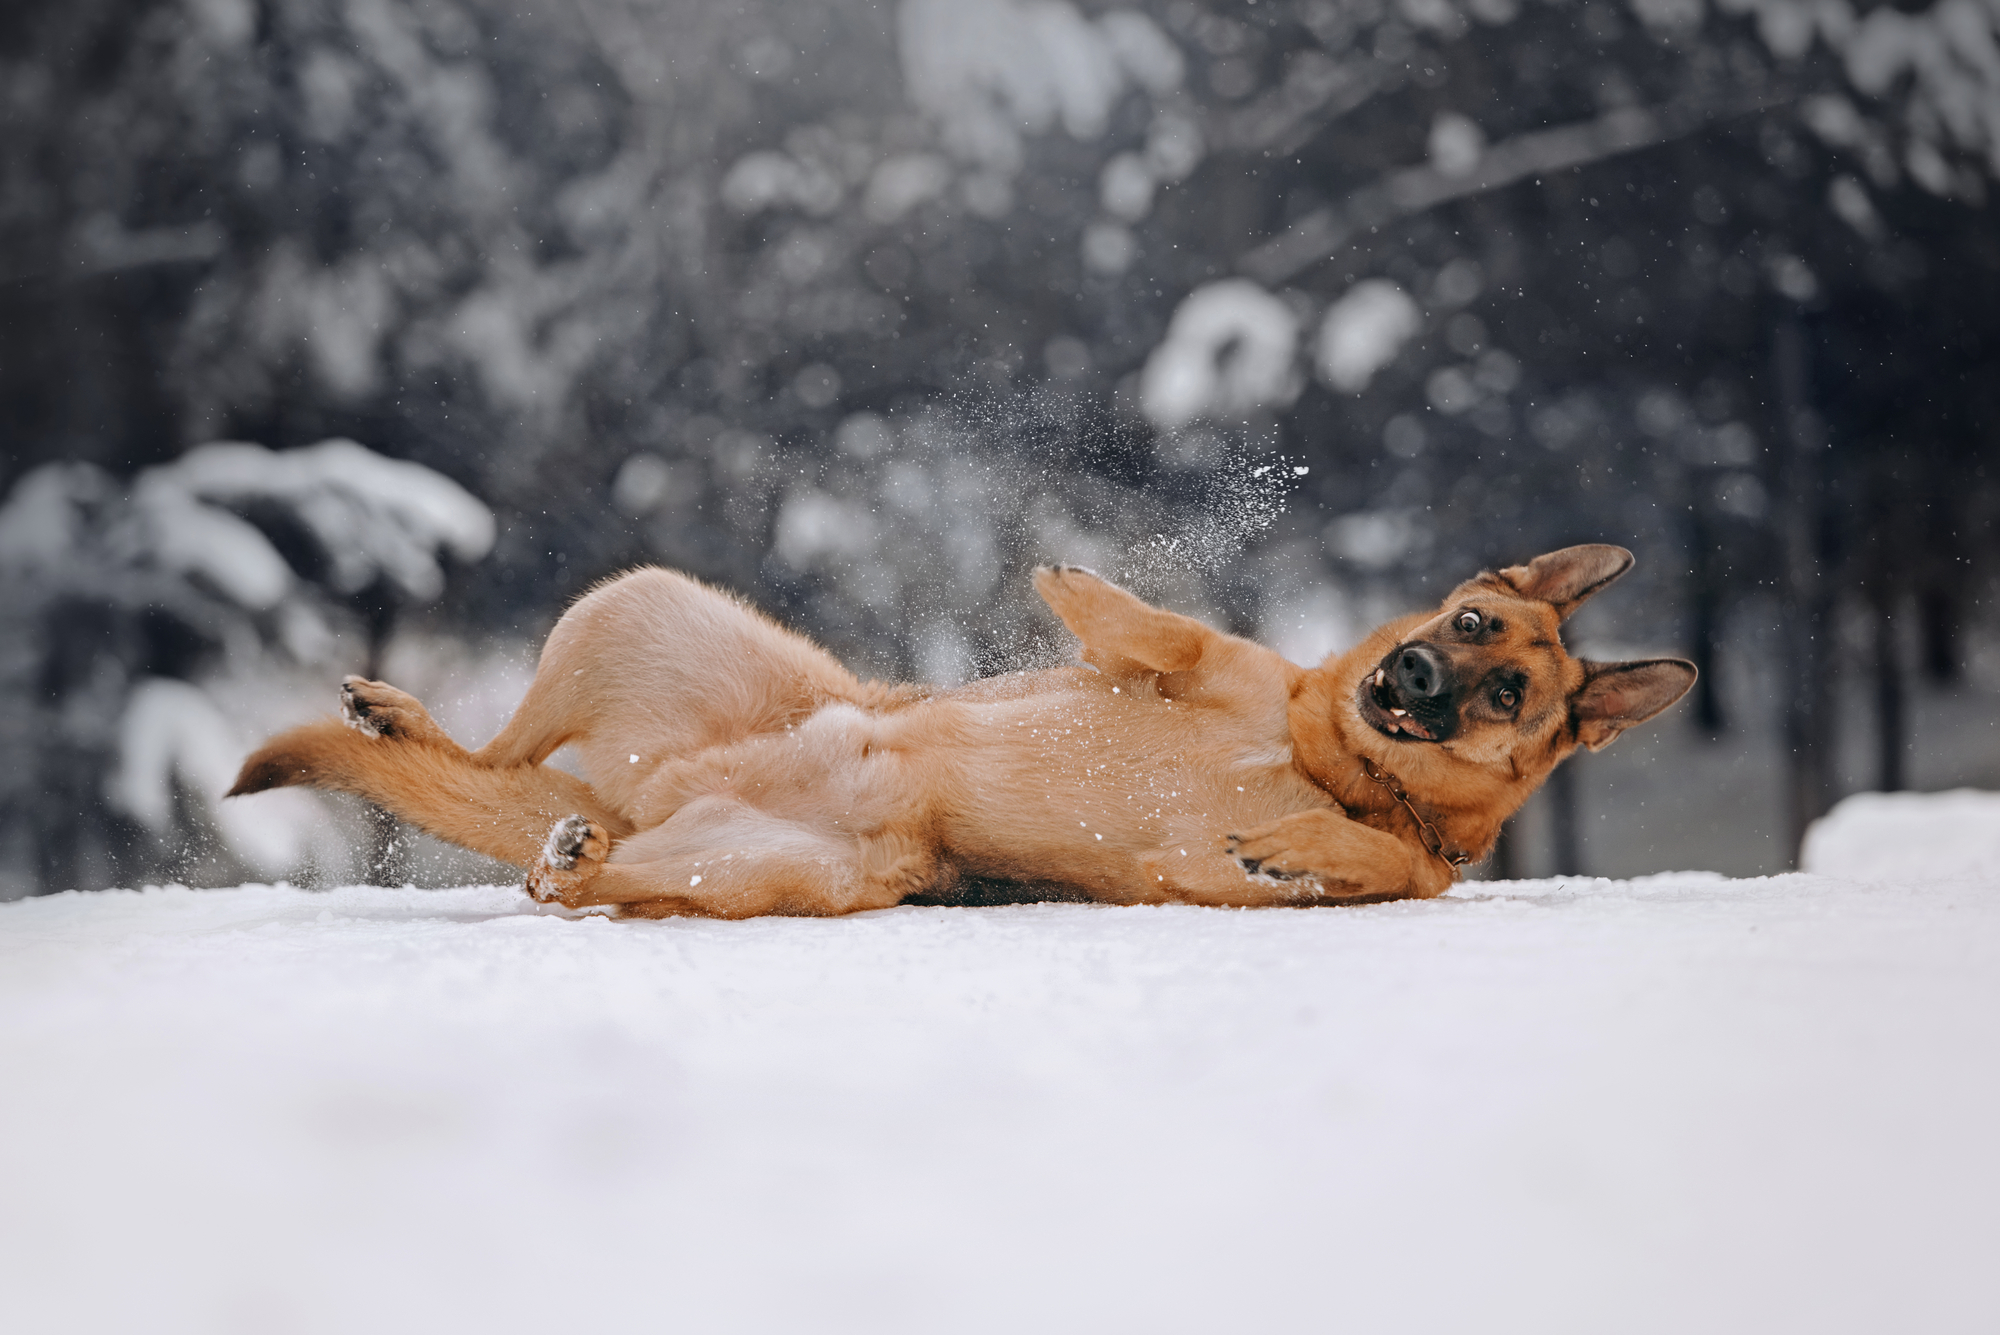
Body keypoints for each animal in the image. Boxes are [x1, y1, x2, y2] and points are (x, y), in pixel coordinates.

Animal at [230, 543, 1704, 919]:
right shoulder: (1214, 672)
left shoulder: (1247, 869)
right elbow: (1168, 633)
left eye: (1508, 690)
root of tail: (654, 800)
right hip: (624, 613)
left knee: (573, 870)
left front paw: (1300, 846)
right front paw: (1074, 585)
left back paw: (569, 858)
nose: (1407, 671)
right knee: (495, 753)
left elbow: (1383, 861)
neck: (1328, 755)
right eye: (1469, 617)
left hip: (766, 873)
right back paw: (396, 709)